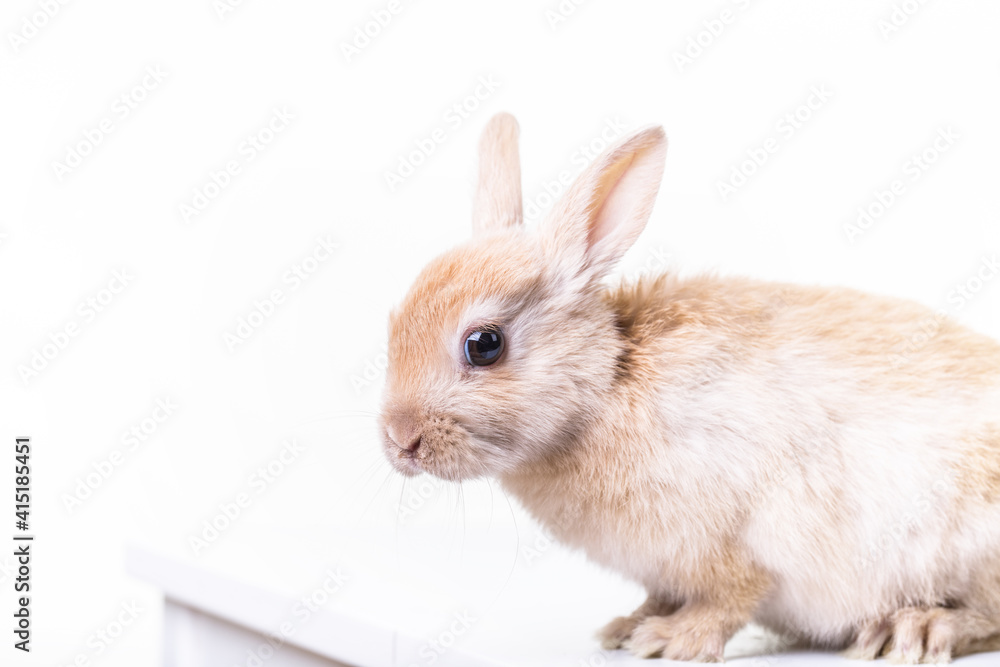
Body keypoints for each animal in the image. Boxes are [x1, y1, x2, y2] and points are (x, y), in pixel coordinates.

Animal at [378, 112, 1000, 662]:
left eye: (484, 344)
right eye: (392, 325)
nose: (399, 441)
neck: (605, 388)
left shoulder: (738, 541)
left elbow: (732, 596)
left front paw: (672, 641)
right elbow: (661, 596)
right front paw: (626, 628)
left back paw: (919, 628)